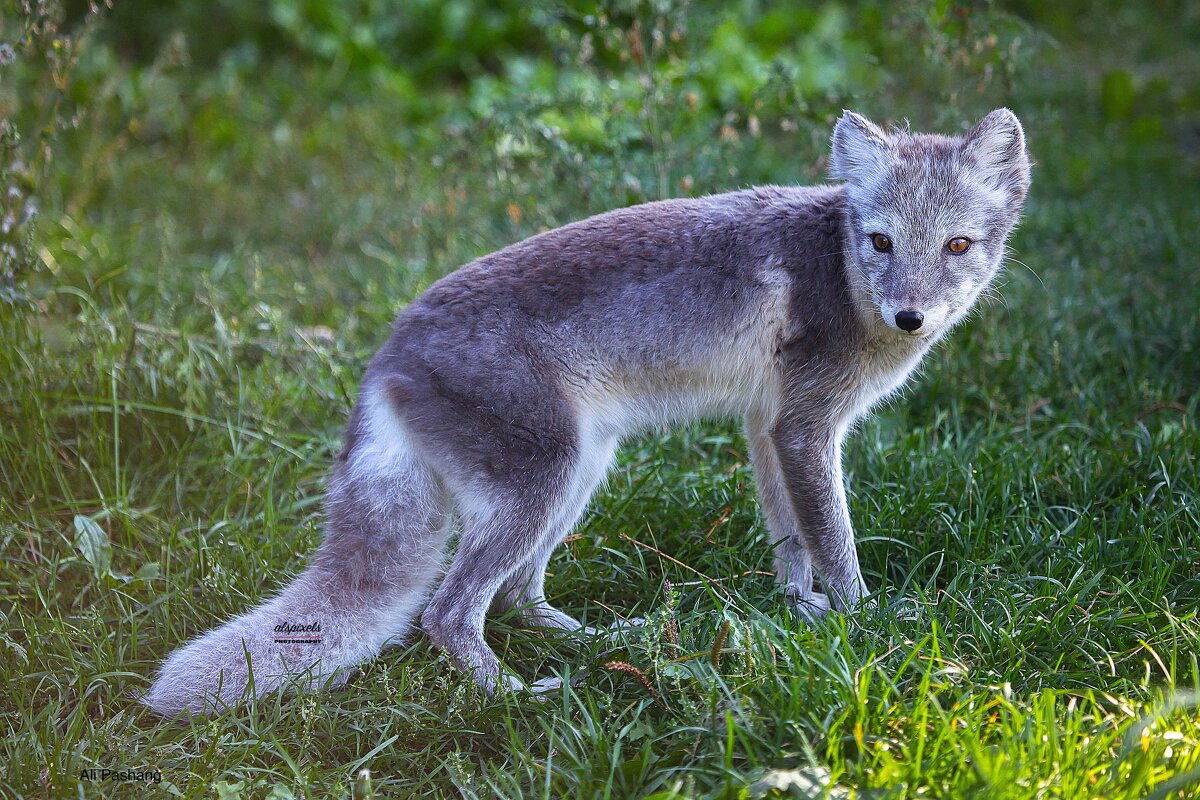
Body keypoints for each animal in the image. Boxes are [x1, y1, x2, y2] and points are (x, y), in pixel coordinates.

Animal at [145, 109, 1032, 714]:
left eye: (956, 246)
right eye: (881, 243)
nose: (910, 317)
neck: (839, 270)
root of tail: (385, 353)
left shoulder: (770, 427)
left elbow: (791, 539)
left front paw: (799, 611)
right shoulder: (807, 428)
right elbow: (834, 541)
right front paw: (862, 624)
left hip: (580, 473)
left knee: (516, 599)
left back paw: (611, 644)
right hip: (549, 478)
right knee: (447, 612)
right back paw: (515, 698)